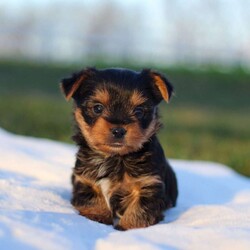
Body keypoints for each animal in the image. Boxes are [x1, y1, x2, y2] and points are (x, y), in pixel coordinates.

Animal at [60, 67, 178, 230]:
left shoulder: (149, 184)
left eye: (139, 111)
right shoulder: (85, 180)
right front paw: (98, 216)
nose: (118, 130)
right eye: (97, 108)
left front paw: (127, 227)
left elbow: (140, 209)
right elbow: (92, 198)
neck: (115, 157)